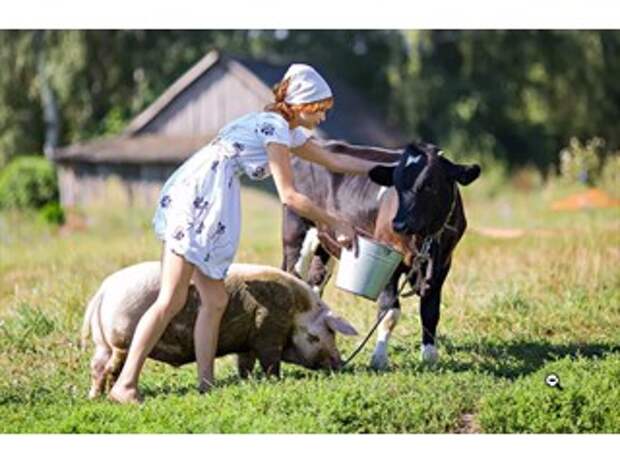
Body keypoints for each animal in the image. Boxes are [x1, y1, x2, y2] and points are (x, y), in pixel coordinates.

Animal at [280, 140, 480, 368]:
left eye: (429, 185)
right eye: (396, 185)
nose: (399, 224)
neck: (424, 237)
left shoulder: (443, 264)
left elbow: (430, 312)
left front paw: (430, 356)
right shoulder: (389, 263)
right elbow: (389, 311)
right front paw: (379, 358)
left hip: (325, 244)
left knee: (315, 283)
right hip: (296, 233)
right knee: (292, 277)